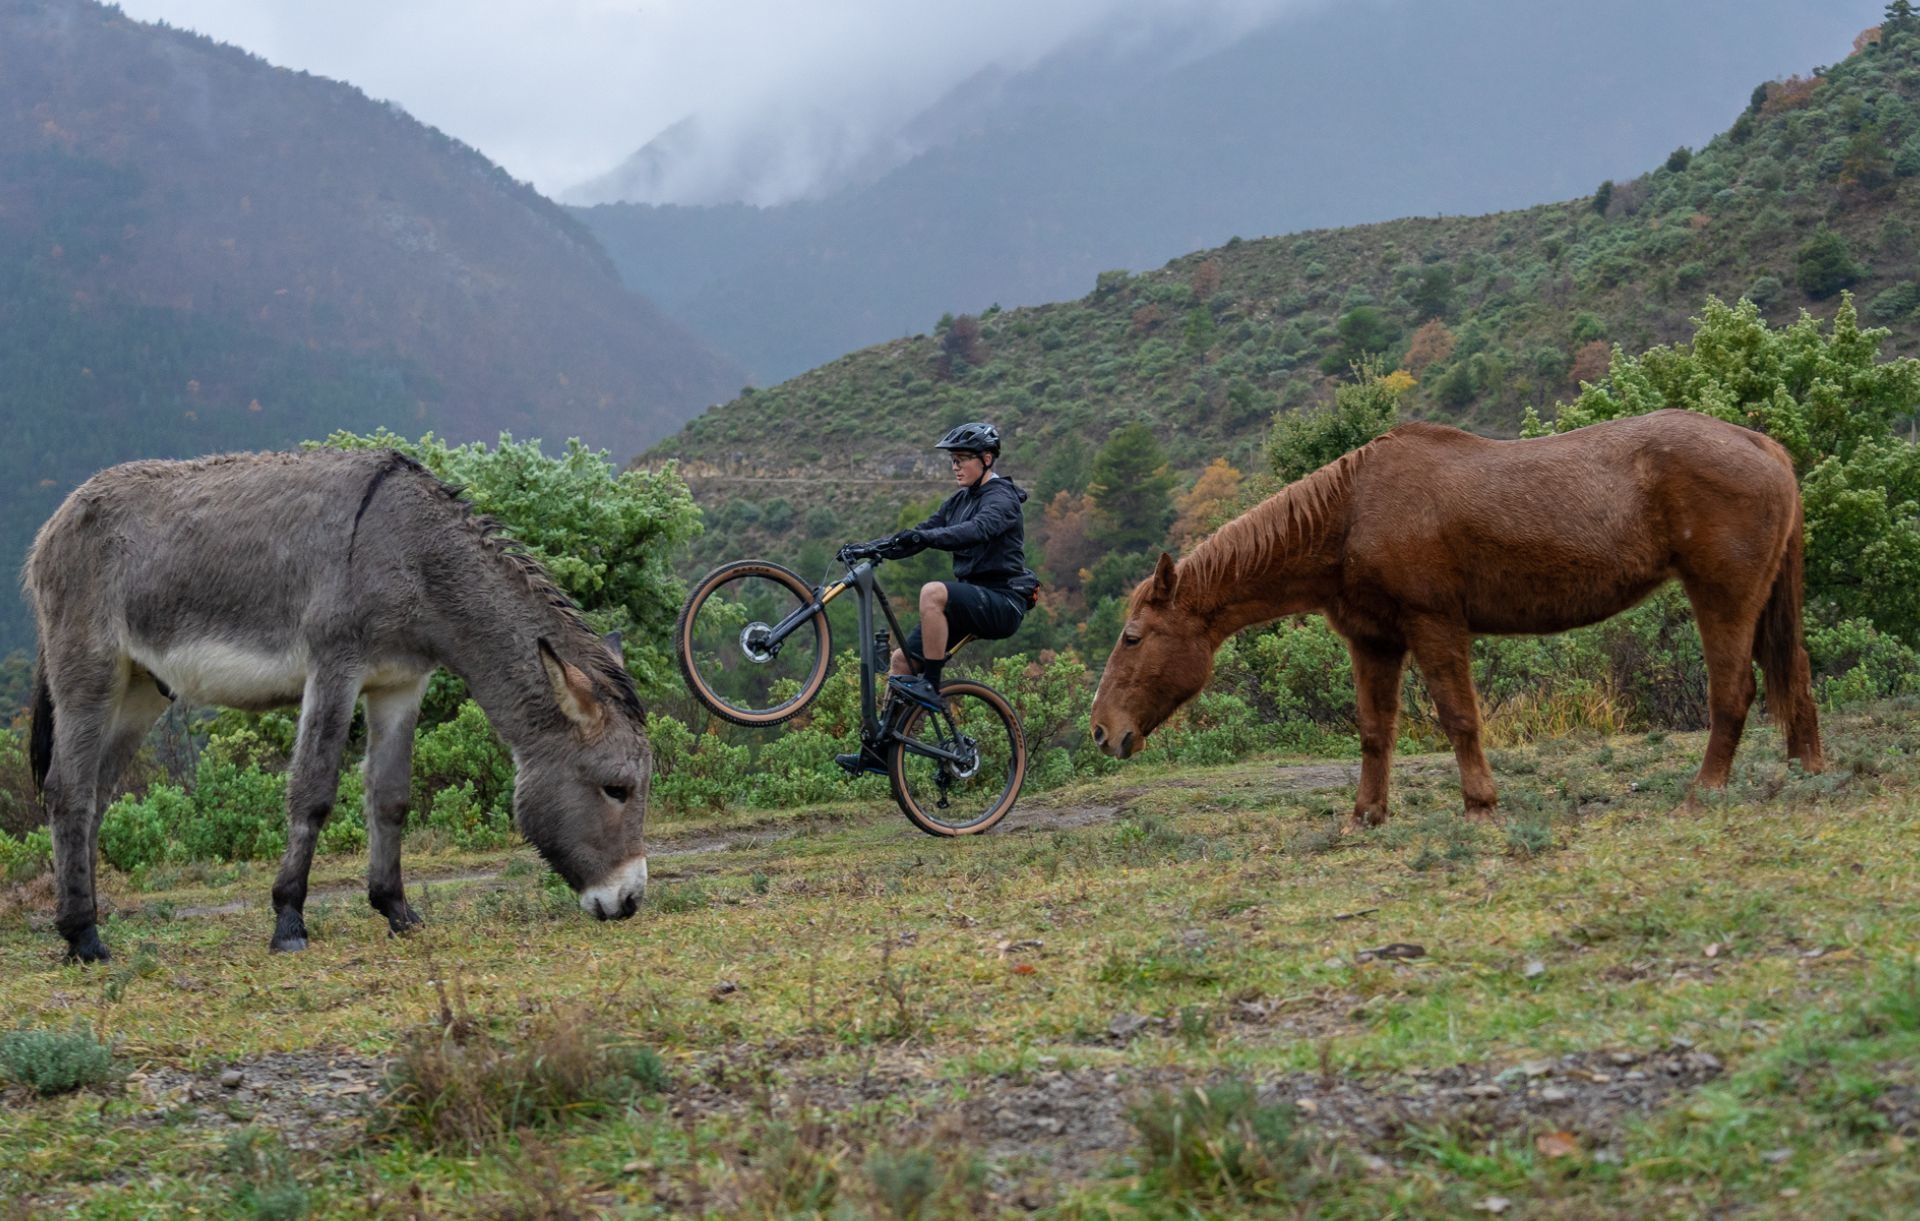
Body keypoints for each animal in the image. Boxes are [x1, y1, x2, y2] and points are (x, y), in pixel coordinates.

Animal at [1098, 412, 1827, 829]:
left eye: (1133, 638)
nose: (1103, 731)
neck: (1351, 512)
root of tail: (1761, 444)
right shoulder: (1374, 640)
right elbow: (1375, 731)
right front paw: (1365, 814)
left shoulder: (1434, 626)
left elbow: (1458, 718)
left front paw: (1480, 804)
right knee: (1797, 676)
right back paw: (1809, 771)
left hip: (1722, 598)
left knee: (1733, 692)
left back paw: (1704, 791)